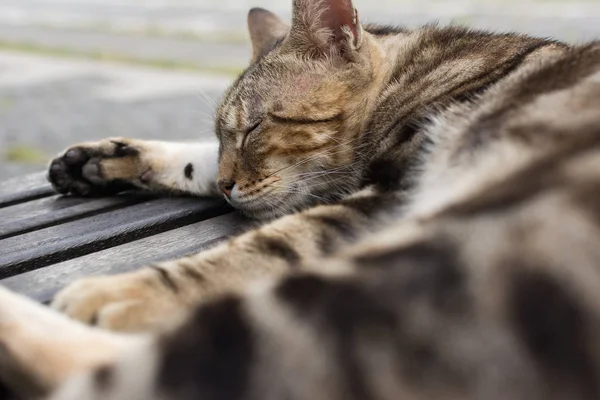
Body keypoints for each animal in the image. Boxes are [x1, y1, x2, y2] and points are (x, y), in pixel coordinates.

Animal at [1, 0, 600, 398]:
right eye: (223, 135)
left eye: (254, 128)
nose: (228, 188)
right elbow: (197, 163)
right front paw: (101, 160)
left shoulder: (386, 192)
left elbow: (268, 244)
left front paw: (131, 289)